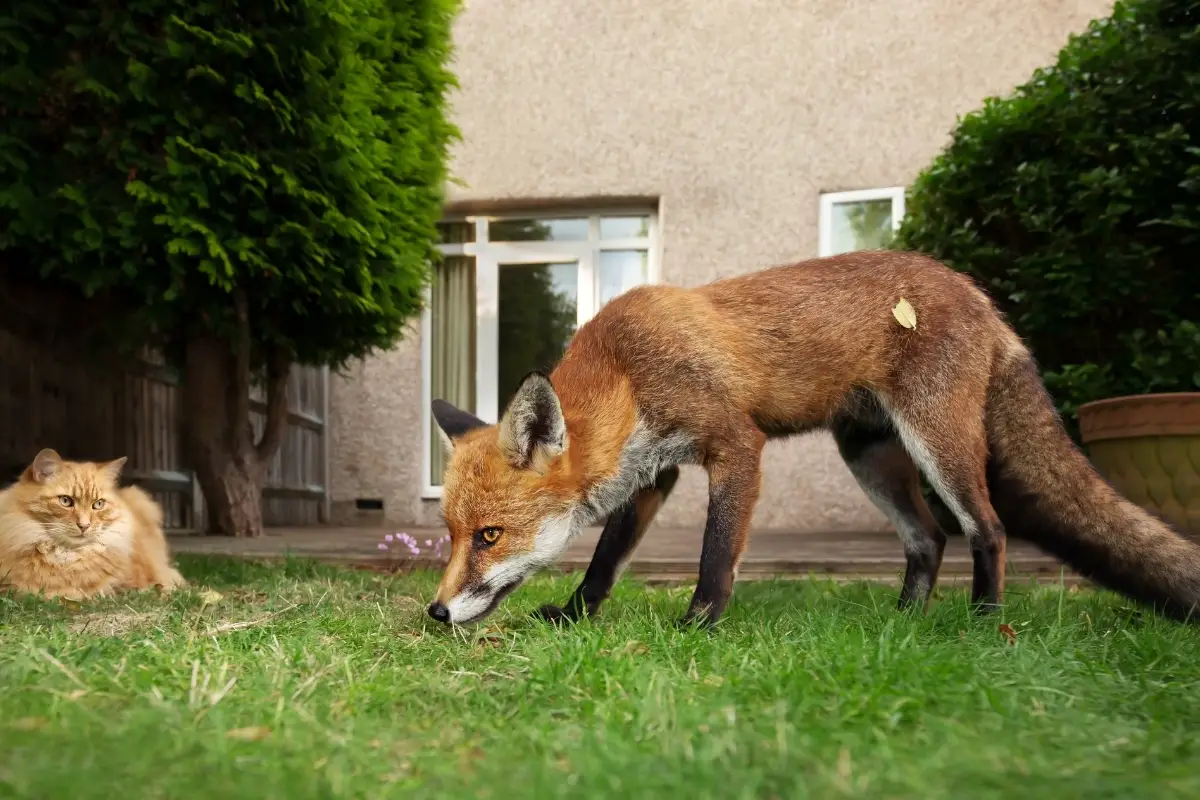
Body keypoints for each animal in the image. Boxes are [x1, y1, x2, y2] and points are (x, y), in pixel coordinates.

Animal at [427, 247, 1200, 628]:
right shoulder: (654, 474)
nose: (435, 611)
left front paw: (698, 624)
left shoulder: (734, 445)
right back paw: (904, 623)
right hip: (869, 458)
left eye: (490, 536)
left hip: (938, 443)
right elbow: (605, 563)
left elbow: (716, 554)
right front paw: (576, 617)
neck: (626, 369)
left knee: (987, 528)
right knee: (929, 539)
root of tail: (979, 294)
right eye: (452, 536)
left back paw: (983, 621)